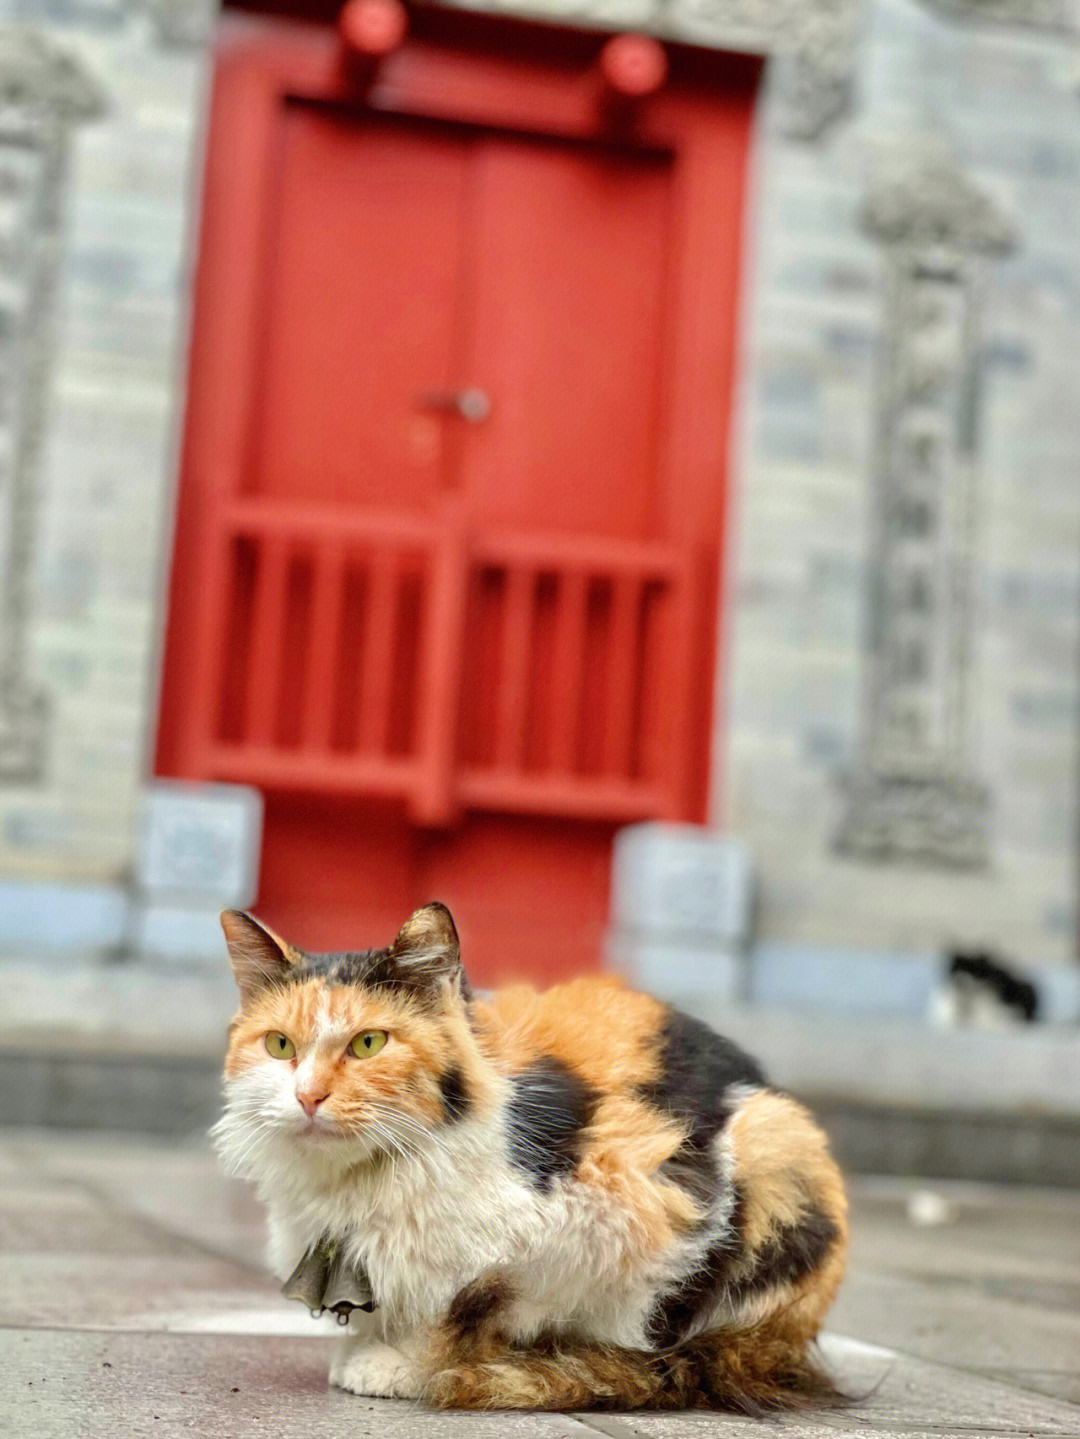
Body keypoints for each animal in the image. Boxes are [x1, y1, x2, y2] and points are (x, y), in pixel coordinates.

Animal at [212, 903, 851, 1410]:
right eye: (280, 1045)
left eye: (369, 1043)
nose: (308, 1096)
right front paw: (372, 1347)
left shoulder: (620, 1205)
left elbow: (476, 1306)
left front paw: (408, 1363)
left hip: (775, 1145)